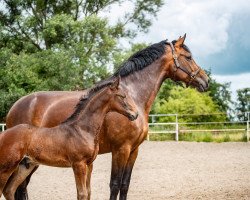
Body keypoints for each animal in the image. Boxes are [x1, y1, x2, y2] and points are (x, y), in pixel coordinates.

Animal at [0, 77, 138, 200]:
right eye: (122, 96)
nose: (135, 114)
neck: (82, 129)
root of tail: (3, 133)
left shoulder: (89, 165)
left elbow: (87, 192)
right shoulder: (78, 164)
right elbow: (82, 194)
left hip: (25, 166)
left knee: (9, 190)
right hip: (6, 168)